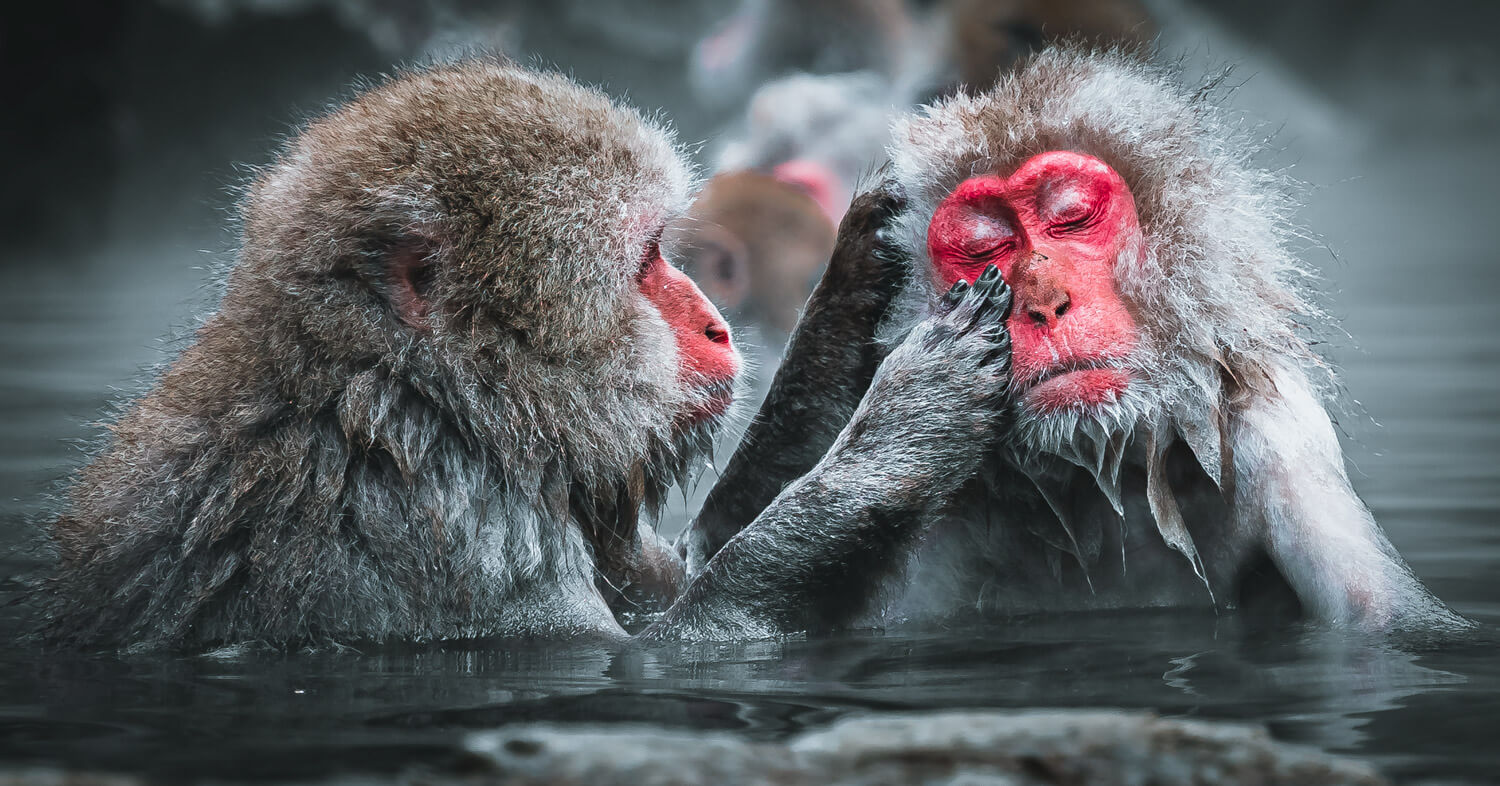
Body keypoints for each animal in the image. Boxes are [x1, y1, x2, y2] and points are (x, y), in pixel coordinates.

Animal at [46, 58, 1008, 651]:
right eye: (645, 262)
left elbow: (680, 570)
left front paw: (855, 274)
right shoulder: (446, 539)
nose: (716, 327)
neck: (432, 409)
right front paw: (905, 422)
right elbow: (670, 643)